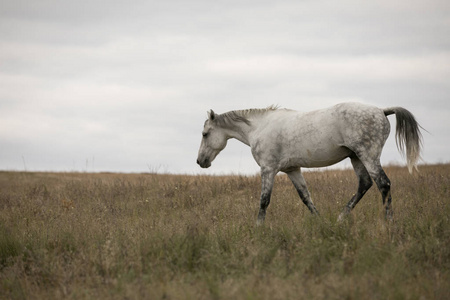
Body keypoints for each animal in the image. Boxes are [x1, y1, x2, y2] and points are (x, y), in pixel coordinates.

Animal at [196, 102, 422, 224]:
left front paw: (258, 227)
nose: (200, 161)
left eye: (205, 134)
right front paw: (321, 222)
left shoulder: (268, 169)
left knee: (383, 184)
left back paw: (388, 222)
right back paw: (340, 218)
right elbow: (306, 197)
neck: (259, 128)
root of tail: (382, 111)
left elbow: (264, 200)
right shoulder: (292, 170)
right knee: (364, 184)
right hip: (356, 157)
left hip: (368, 156)